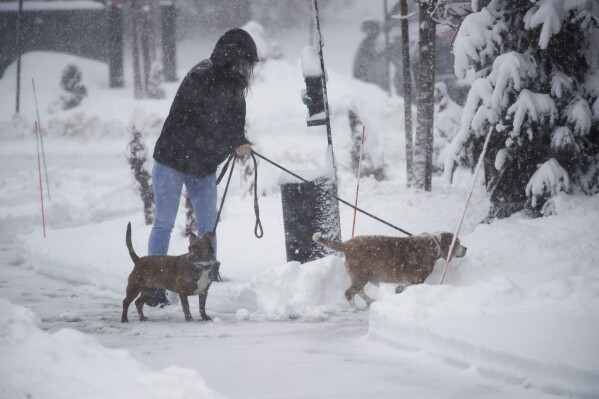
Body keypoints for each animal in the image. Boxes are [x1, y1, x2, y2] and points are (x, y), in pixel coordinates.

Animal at [314, 231, 468, 306]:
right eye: (457, 242)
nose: (465, 248)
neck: (435, 244)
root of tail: (346, 244)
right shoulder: (417, 279)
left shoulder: (407, 281)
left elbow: (401, 288)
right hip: (361, 275)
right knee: (349, 293)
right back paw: (355, 308)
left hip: (362, 277)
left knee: (360, 291)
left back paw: (370, 301)